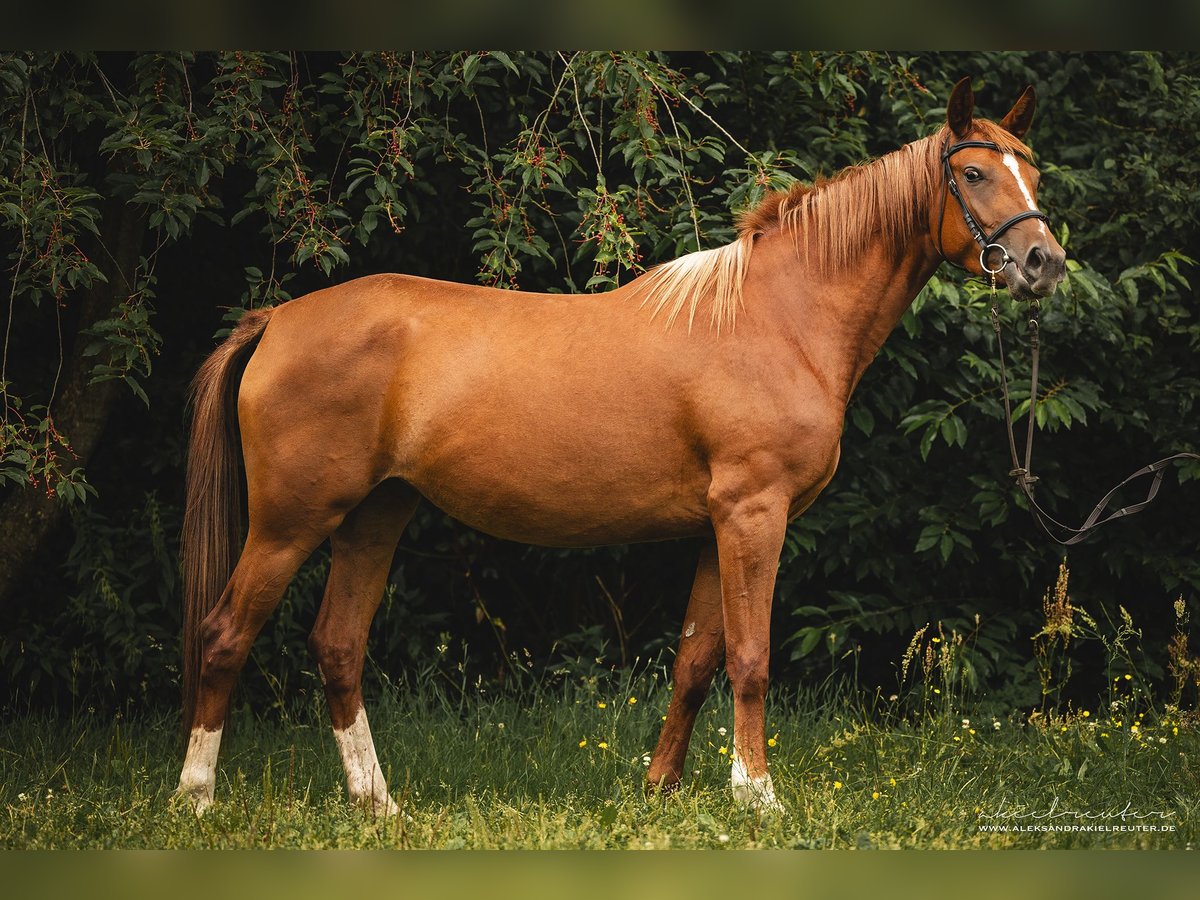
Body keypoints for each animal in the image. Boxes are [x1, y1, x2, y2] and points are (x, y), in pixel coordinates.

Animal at [174, 79, 1065, 816]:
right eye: (974, 174)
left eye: (1033, 174)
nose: (1043, 262)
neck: (777, 318)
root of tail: (277, 321)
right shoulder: (755, 515)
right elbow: (750, 658)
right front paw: (758, 798)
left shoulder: (718, 527)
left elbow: (696, 662)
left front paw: (661, 789)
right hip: (290, 522)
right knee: (225, 635)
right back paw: (197, 798)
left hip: (373, 516)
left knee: (337, 647)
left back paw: (378, 804)